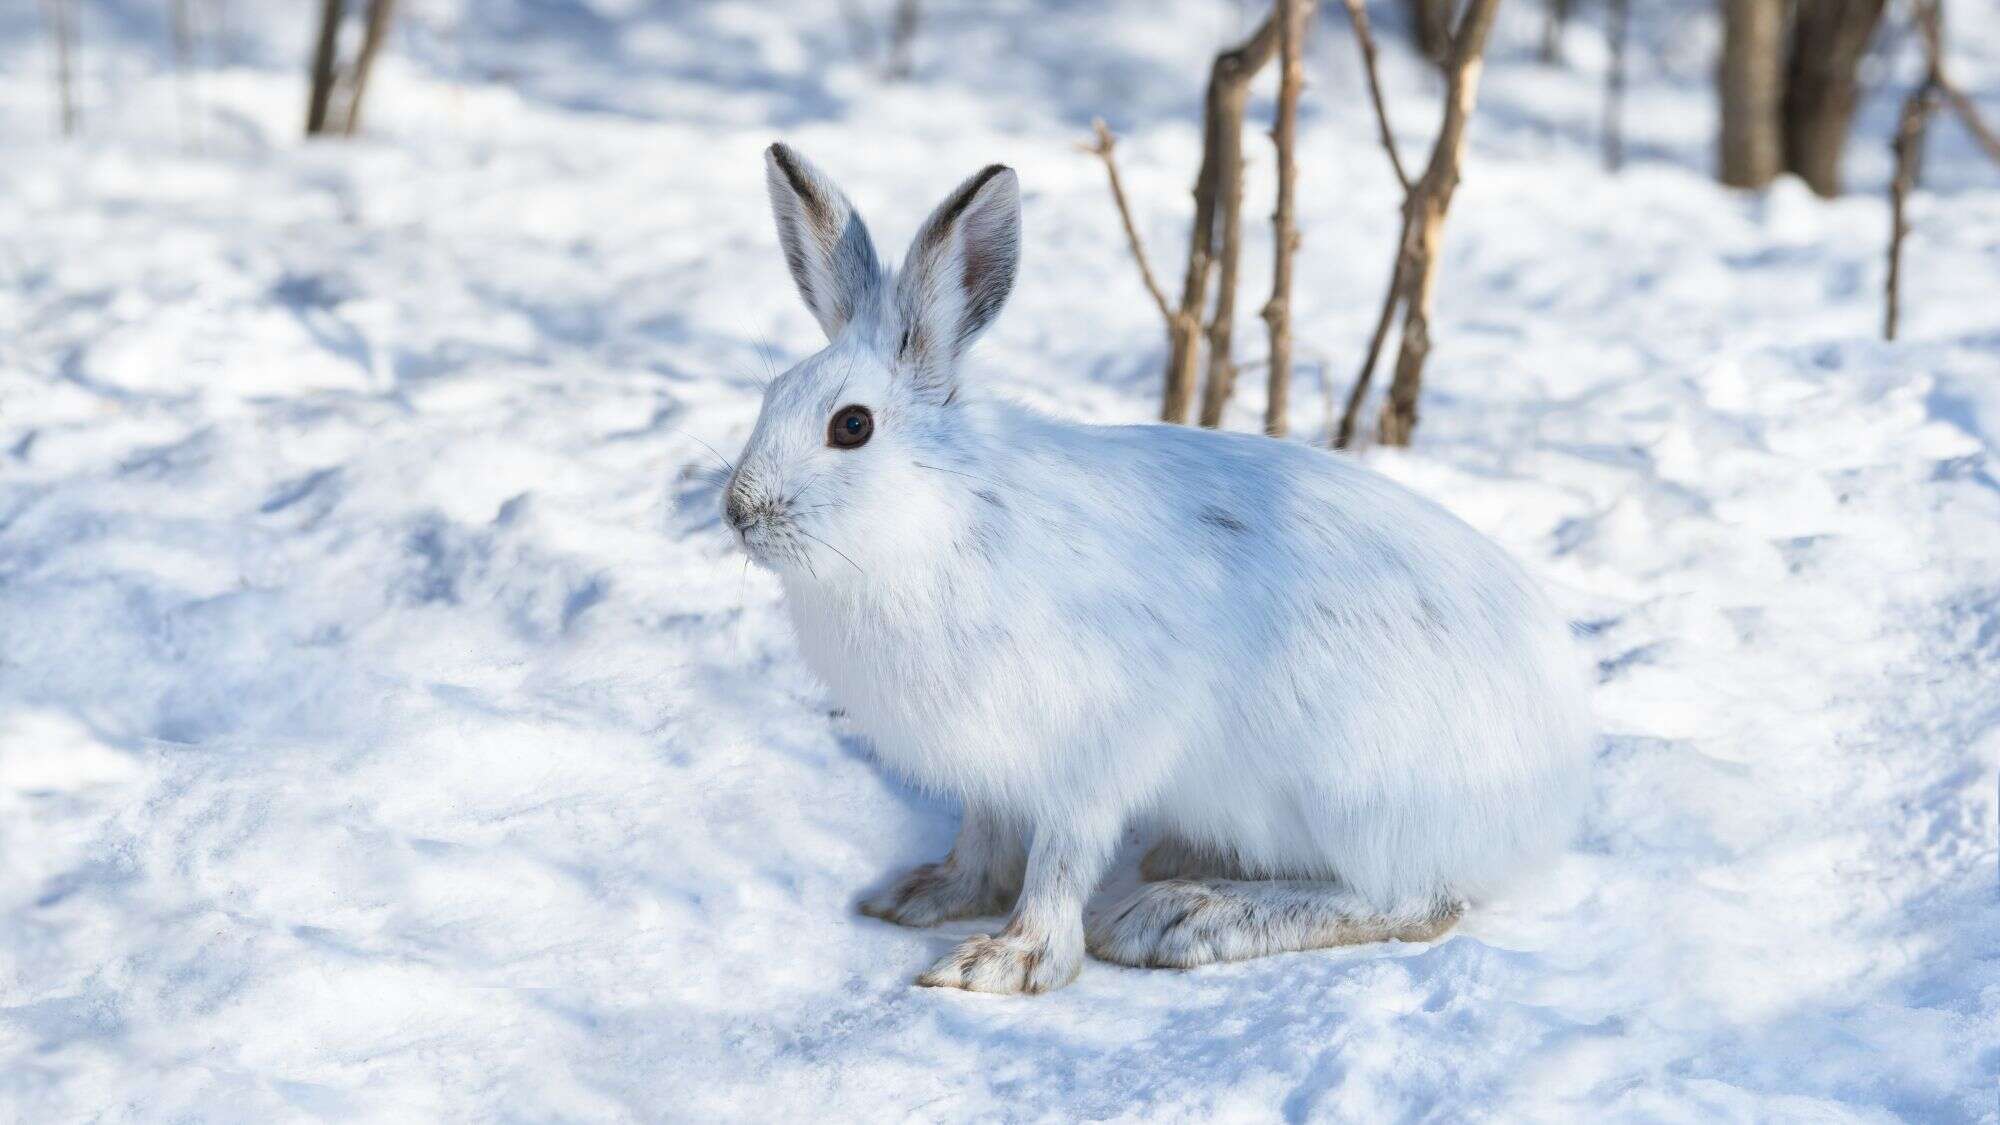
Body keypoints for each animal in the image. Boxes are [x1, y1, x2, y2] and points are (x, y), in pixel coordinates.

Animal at [722, 143, 1594, 994]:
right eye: (769, 396)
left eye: (852, 426)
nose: (738, 512)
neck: (945, 512)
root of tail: (1548, 782)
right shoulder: (993, 770)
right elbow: (984, 837)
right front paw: (926, 894)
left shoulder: (1093, 751)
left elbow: (1061, 859)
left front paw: (1006, 960)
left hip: (1357, 787)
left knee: (1416, 899)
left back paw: (1183, 915)